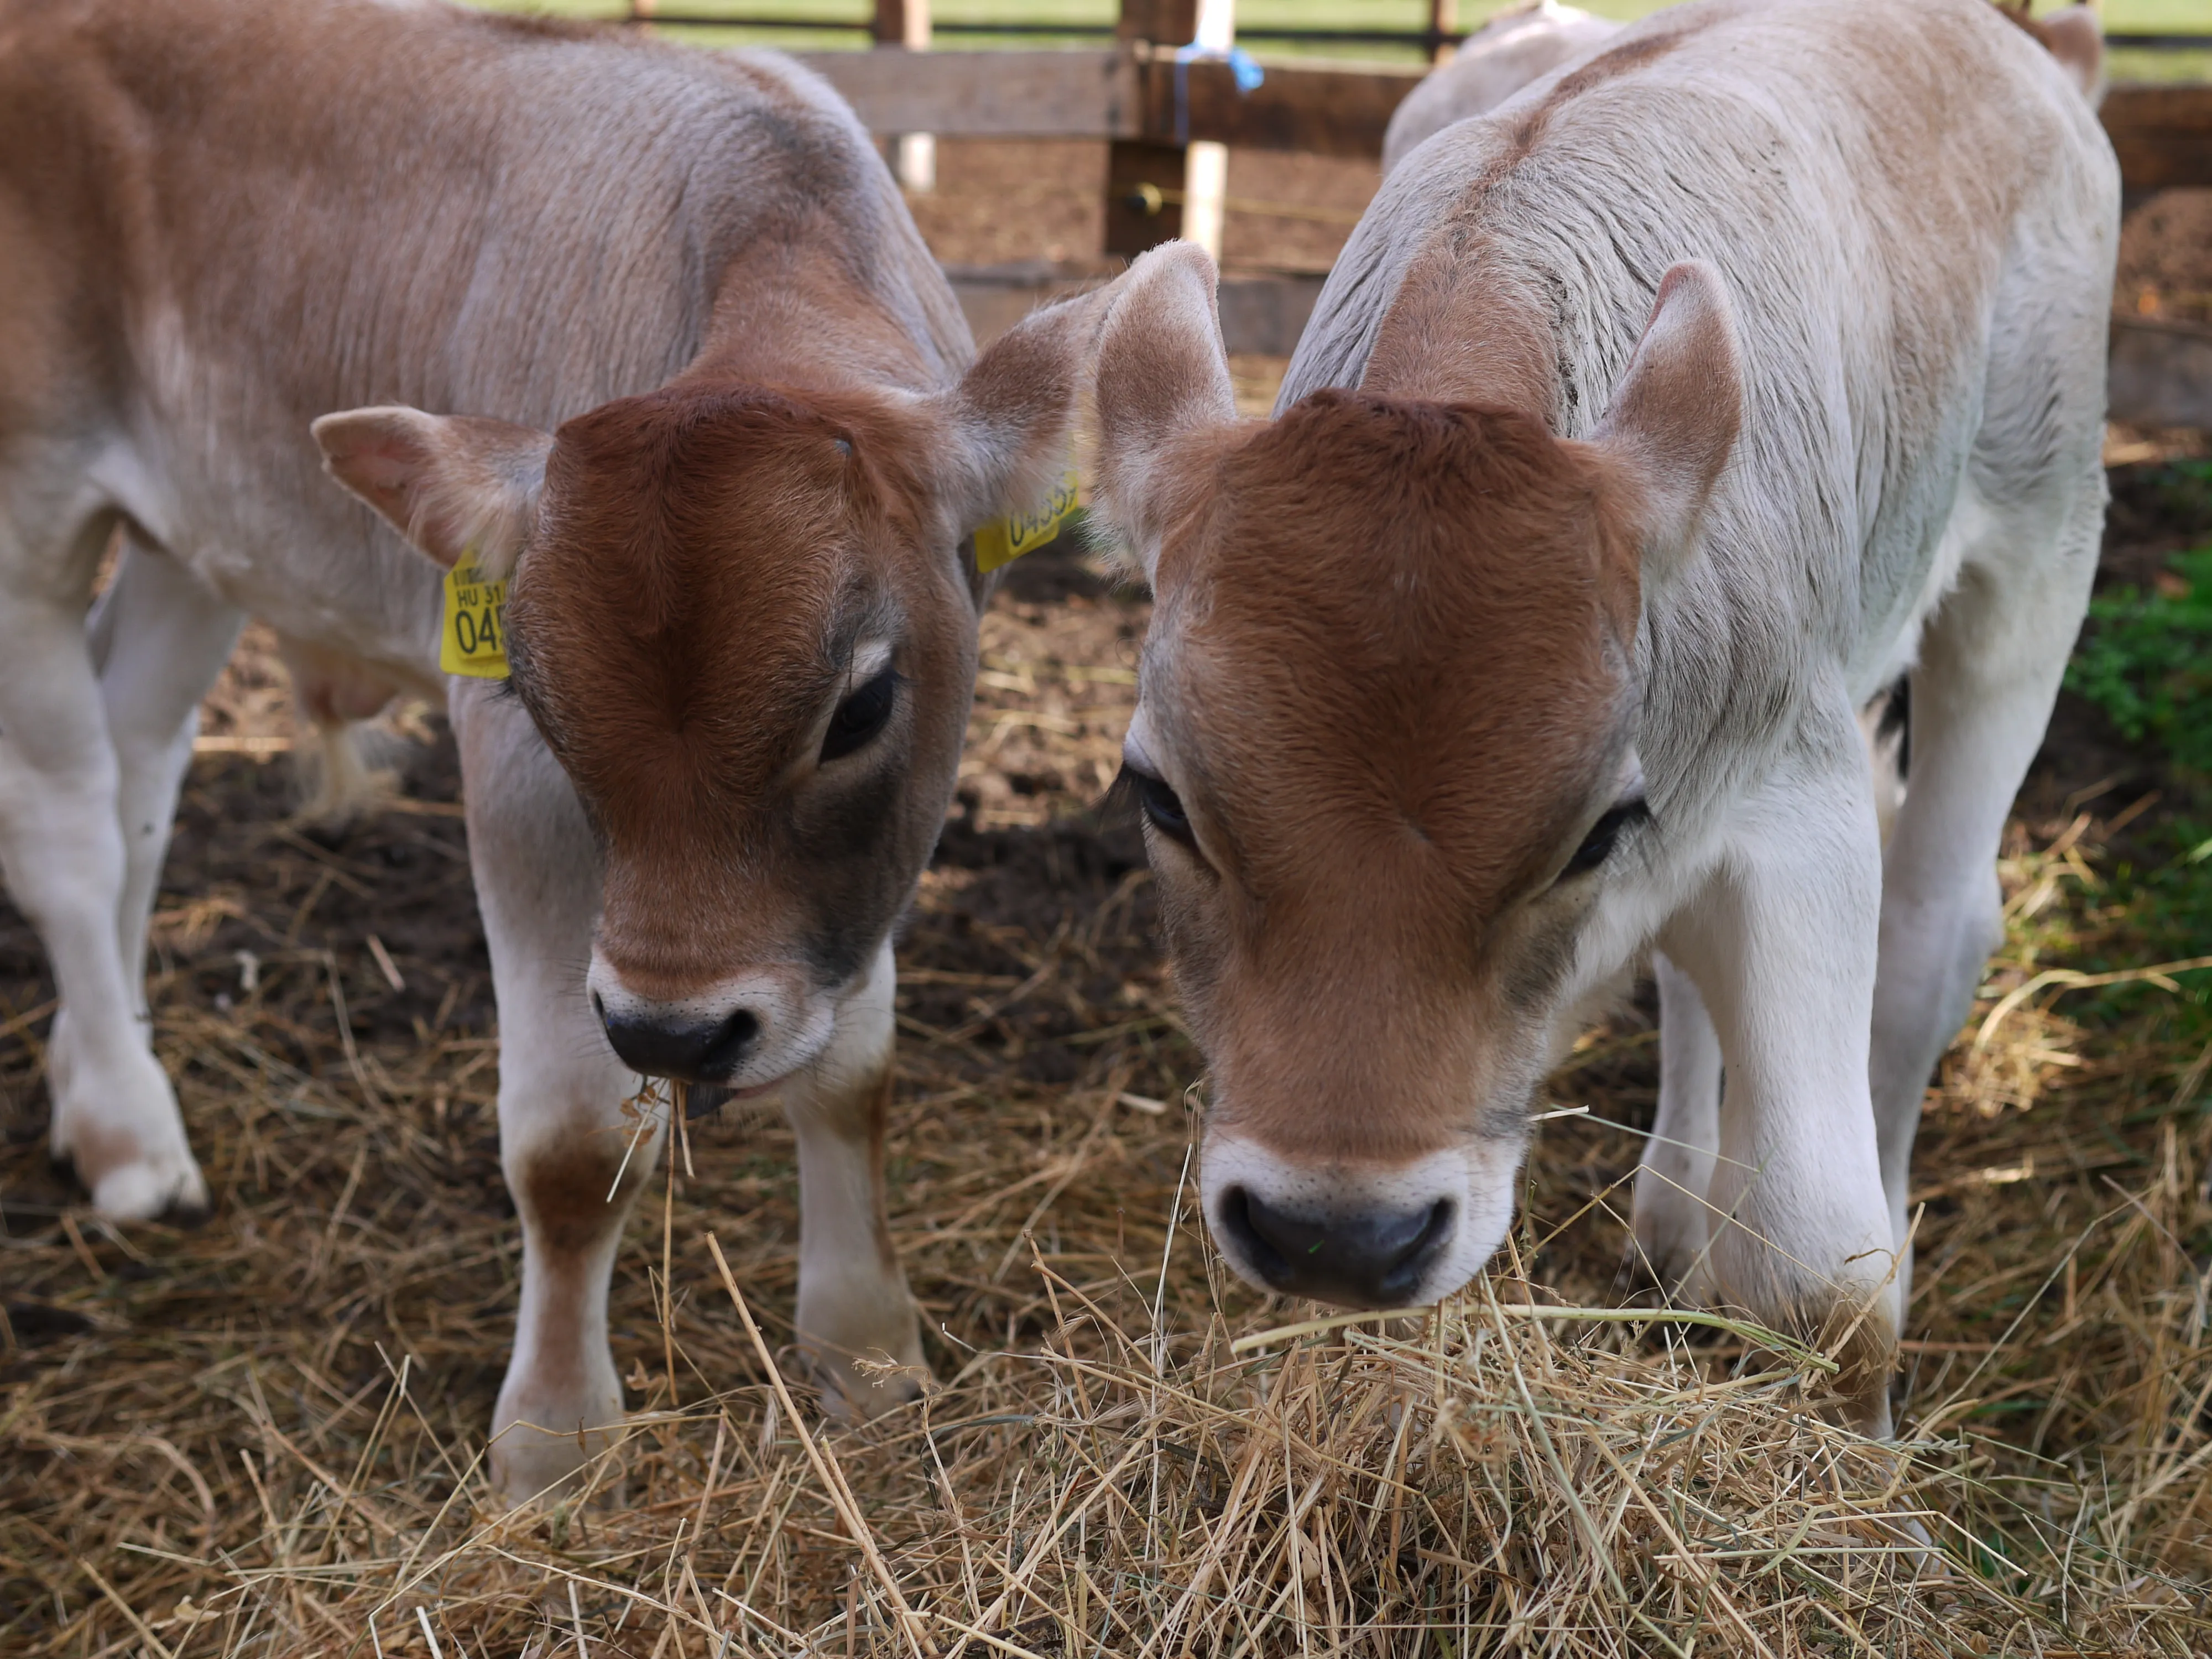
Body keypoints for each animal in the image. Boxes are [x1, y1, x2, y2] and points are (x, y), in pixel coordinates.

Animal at [1, 0, 1105, 1497]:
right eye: (531, 690)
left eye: (863, 708)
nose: (672, 1029)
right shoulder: (514, 782)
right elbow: (573, 1150)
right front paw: (556, 1441)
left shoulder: (862, 877)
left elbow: (852, 1075)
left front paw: (870, 1361)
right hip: (28, 504)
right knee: (66, 822)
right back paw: (125, 1125)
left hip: (197, 530)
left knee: (139, 770)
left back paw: (97, 1074)